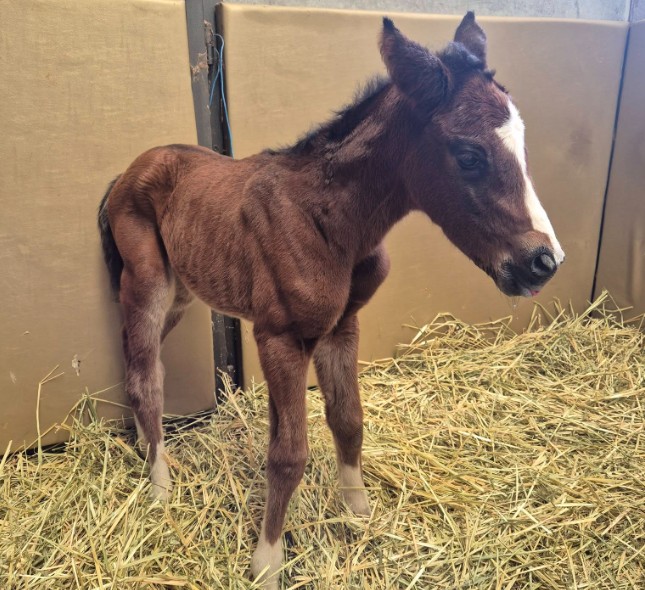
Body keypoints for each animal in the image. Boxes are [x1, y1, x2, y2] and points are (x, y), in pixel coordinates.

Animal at [97, 12, 564, 589]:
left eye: (522, 146)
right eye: (469, 155)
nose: (544, 261)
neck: (332, 222)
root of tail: (130, 169)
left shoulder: (342, 327)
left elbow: (348, 420)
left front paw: (359, 515)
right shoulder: (279, 336)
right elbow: (288, 454)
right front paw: (267, 561)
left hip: (183, 292)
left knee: (140, 360)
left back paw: (147, 450)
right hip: (148, 284)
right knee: (147, 377)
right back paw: (160, 488)